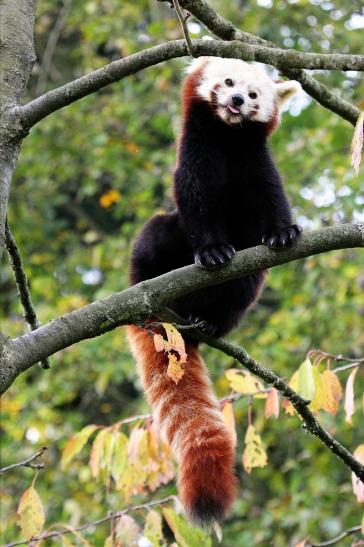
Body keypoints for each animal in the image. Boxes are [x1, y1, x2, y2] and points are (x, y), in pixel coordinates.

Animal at [126, 57, 300, 528]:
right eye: (228, 82)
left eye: (254, 94)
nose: (238, 100)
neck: (227, 139)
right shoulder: (195, 163)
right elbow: (199, 207)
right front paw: (213, 250)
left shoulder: (259, 165)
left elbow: (273, 200)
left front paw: (283, 232)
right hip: (157, 246)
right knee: (155, 236)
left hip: (243, 288)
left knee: (242, 287)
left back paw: (208, 322)